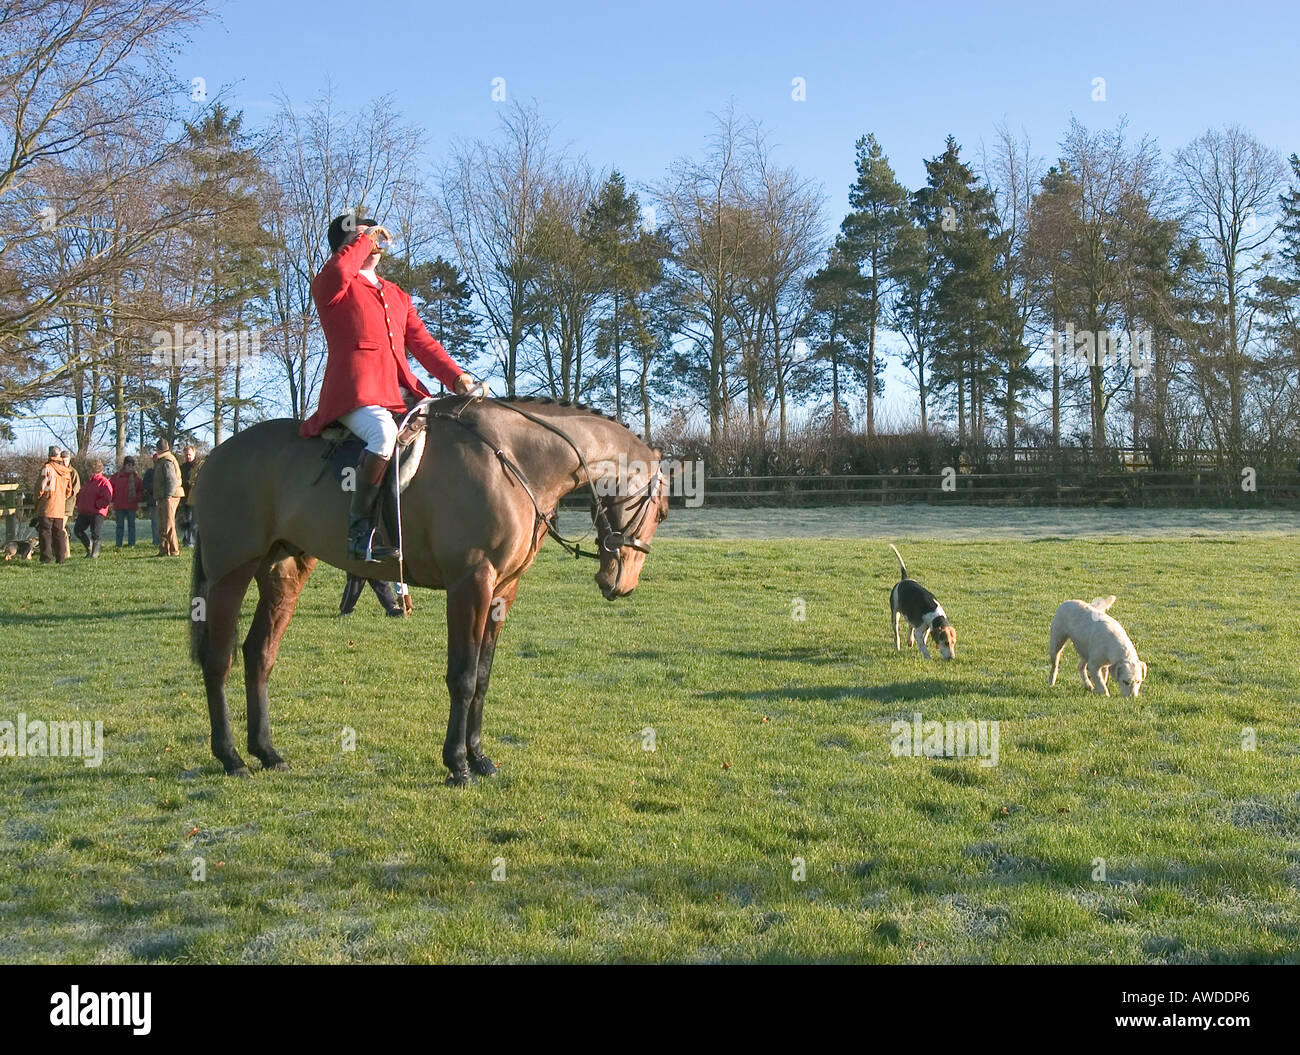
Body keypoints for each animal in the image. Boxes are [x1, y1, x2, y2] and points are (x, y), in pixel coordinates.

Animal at [189, 394, 670, 784]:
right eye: (662, 511)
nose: (621, 585)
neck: (513, 460)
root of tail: (218, 454)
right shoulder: (470, 583)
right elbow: (461, 676)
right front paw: (457, 764)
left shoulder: (503, 589)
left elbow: (482, 676)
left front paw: (480, 758)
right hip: (230, 573)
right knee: (218, 660)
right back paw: (231, 757)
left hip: (284, 571)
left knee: (259, 654)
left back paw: (267, 752)